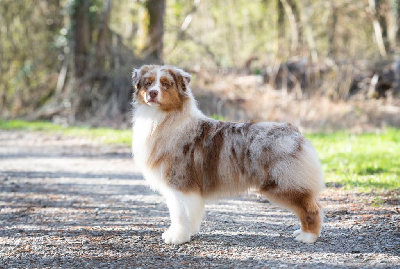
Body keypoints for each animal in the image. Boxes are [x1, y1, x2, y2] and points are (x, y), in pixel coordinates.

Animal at [131, 64, 324, 243]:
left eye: (166, 84)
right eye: (148, 83)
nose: (152, 93)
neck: (162, 118)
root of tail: (294, 131)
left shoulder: (179, 181)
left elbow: (179, 213)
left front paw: (177, 237)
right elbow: (183, 213)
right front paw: (184, 232)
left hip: (283, 183)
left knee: (311, 207)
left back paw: (307, 236)